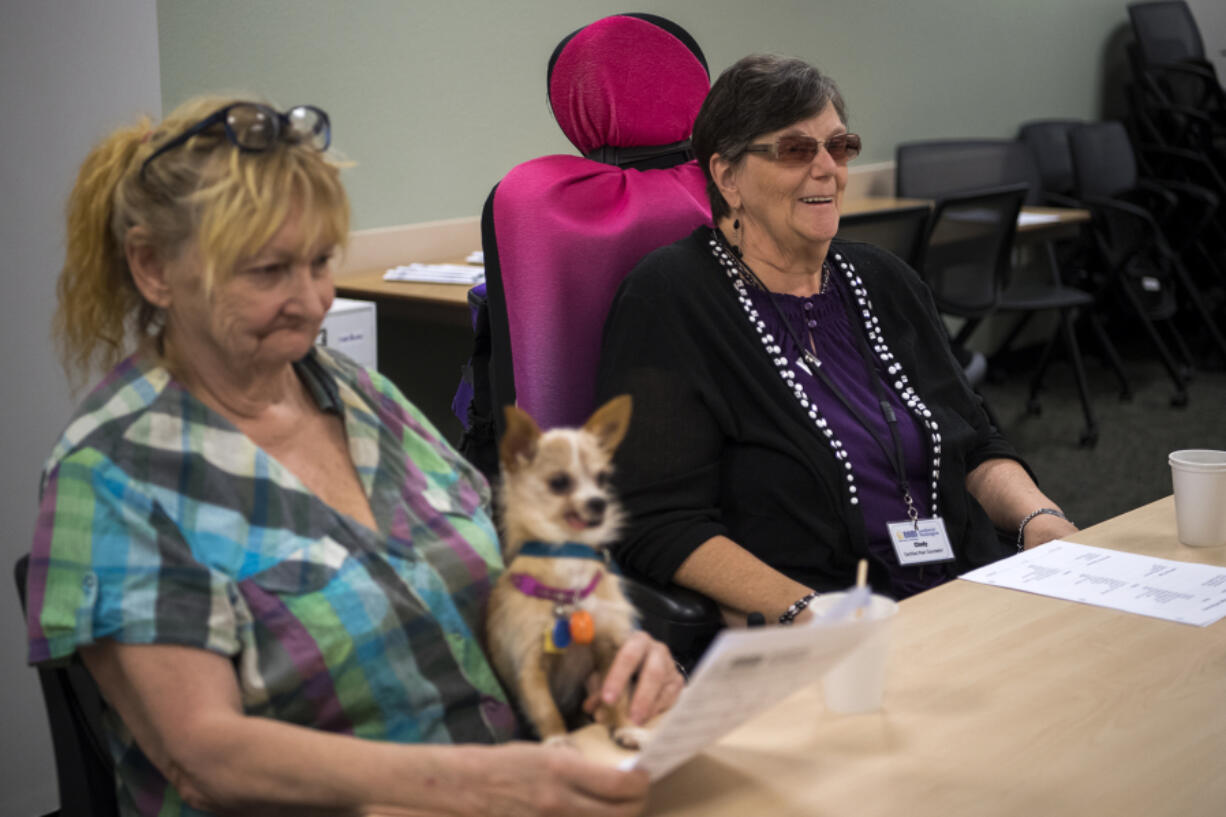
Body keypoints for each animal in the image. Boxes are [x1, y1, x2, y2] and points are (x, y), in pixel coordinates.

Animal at [483, 392, 647, 745]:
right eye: (559, 482)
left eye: (602, 479)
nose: (599, 503)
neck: (569, 555)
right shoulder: (529, 665)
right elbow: (546, 711)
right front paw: (558, 742)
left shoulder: (609, 649)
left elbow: (616, 696)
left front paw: (625, 726)